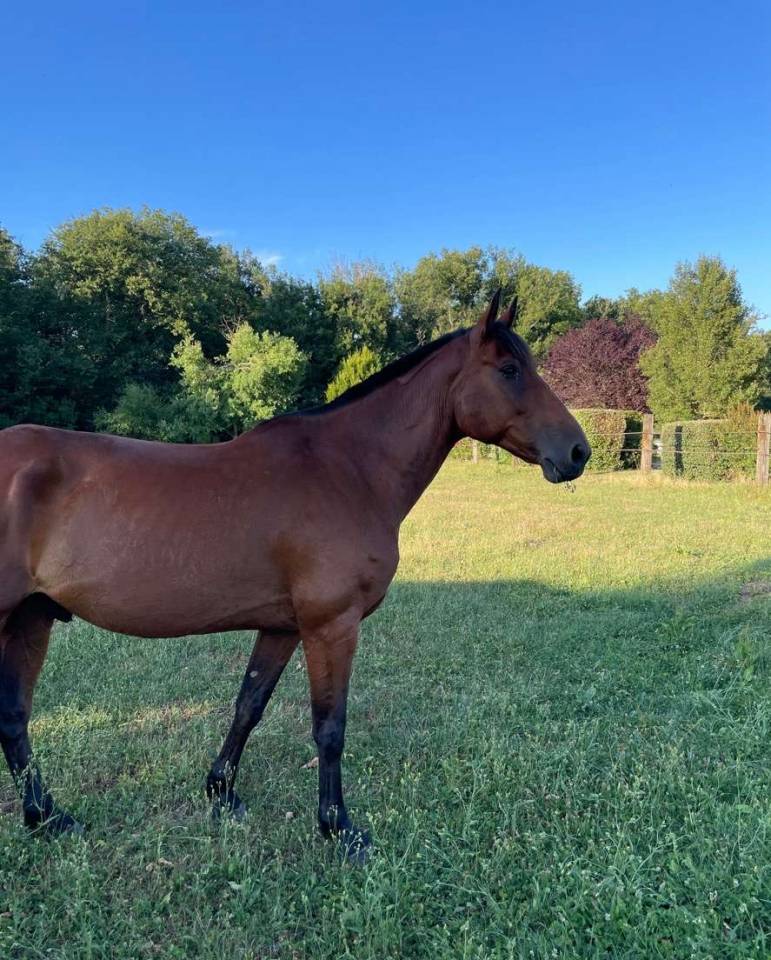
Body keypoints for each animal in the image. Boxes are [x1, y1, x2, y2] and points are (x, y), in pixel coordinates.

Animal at [0, 291, 589, 860]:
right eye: (509, 369)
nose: (578, 451)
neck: (349, 470)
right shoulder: (332, 625)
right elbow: (329, 727)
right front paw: (338, 829)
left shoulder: (283, 626)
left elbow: (249, 706)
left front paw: (222, 793)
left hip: (32, 618)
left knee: (14, 716)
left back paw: (46, 816)